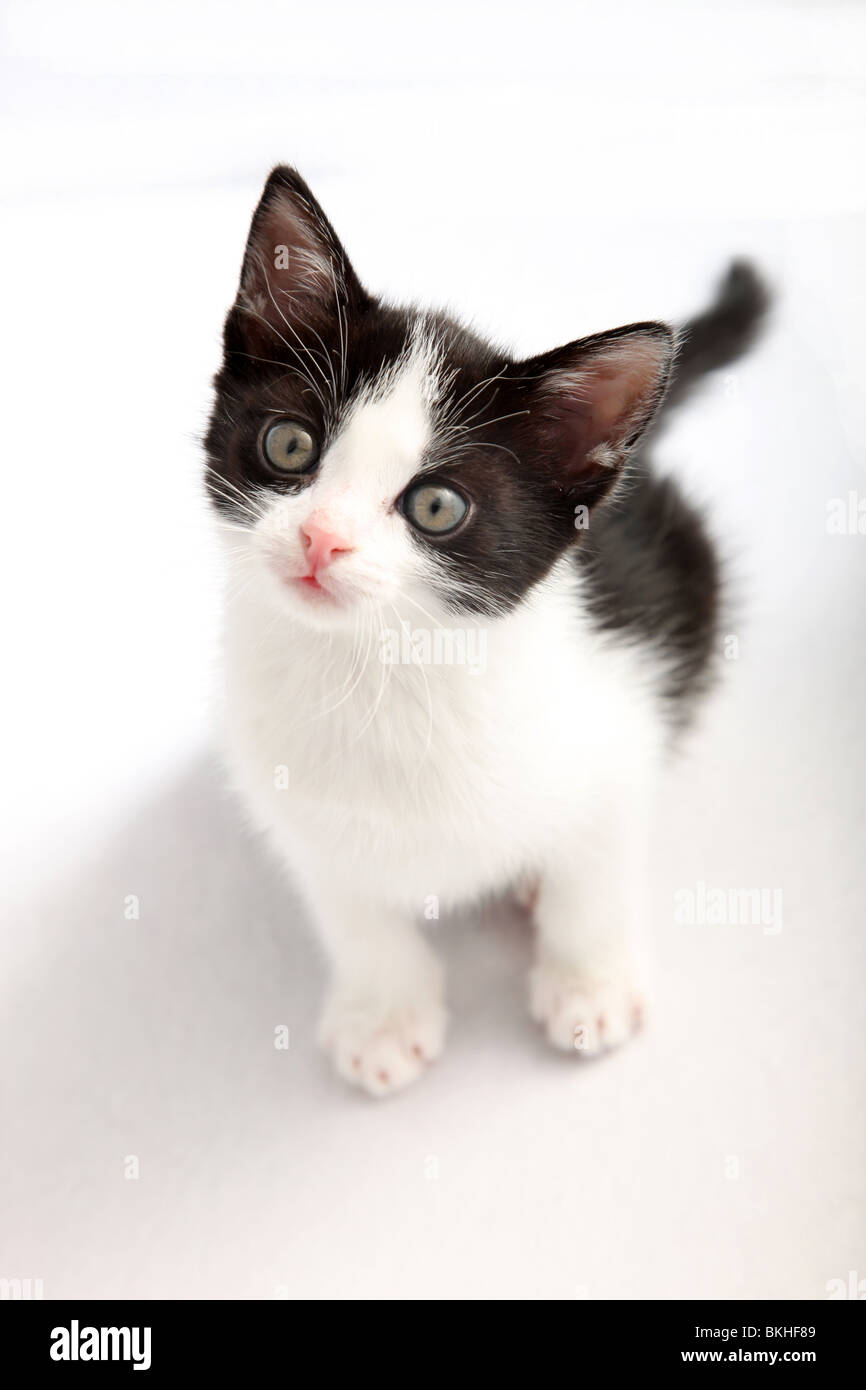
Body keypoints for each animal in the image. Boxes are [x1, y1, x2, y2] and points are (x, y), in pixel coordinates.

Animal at [202, 162, 767, 1095]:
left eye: (436, 506)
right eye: (288, 445)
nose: (321, 539)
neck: (384, 676)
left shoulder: (622, 714)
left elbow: (594, 868)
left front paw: (589, 984)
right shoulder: (293, 799)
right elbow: (354, 908)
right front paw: (384, 1015)